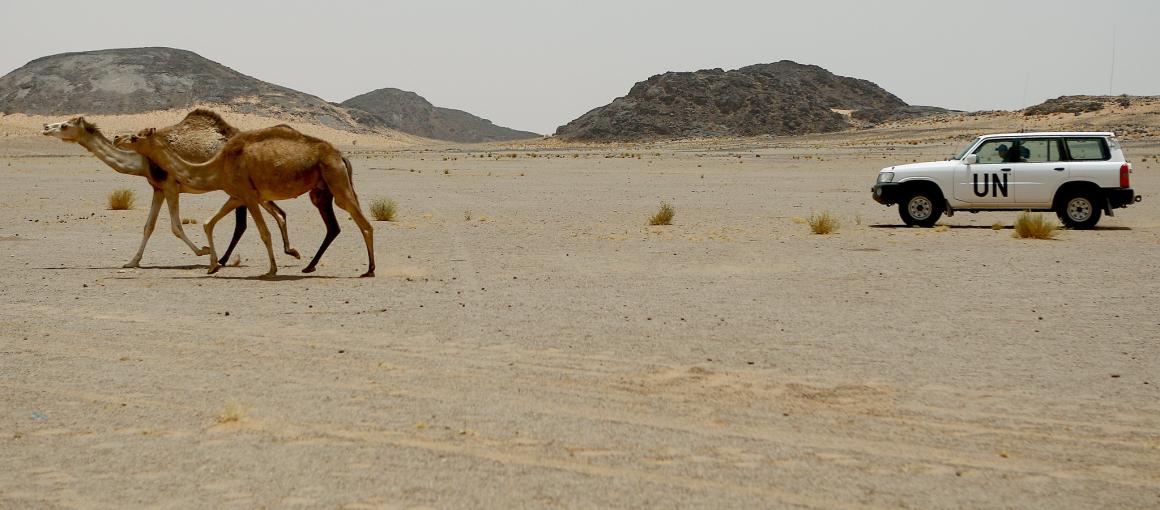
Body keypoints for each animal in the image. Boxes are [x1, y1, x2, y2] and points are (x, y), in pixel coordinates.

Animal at [42, 110, 300, 267]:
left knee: (250, 221)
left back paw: (227, 259)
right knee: (277, 213)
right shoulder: (157, 188)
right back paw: (288, 251)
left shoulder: (171, 186)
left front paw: (203, 251)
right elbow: (148, 226)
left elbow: (175, 226)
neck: (143, 162)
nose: (45, 127)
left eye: (64, 125)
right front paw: (132, 261)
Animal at [117, 124, 375, 278]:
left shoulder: (250, 196)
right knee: (335, 225)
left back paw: (369, 270)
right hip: (322, 191)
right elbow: (209, 223)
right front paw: (212, 264)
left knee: (365, 224)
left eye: (135, 136)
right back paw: (309, 265)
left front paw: (271, 270)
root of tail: (339, 155)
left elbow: (264, 233)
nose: (117, 136)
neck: (217, 165)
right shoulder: (236, 195)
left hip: (337, 182)